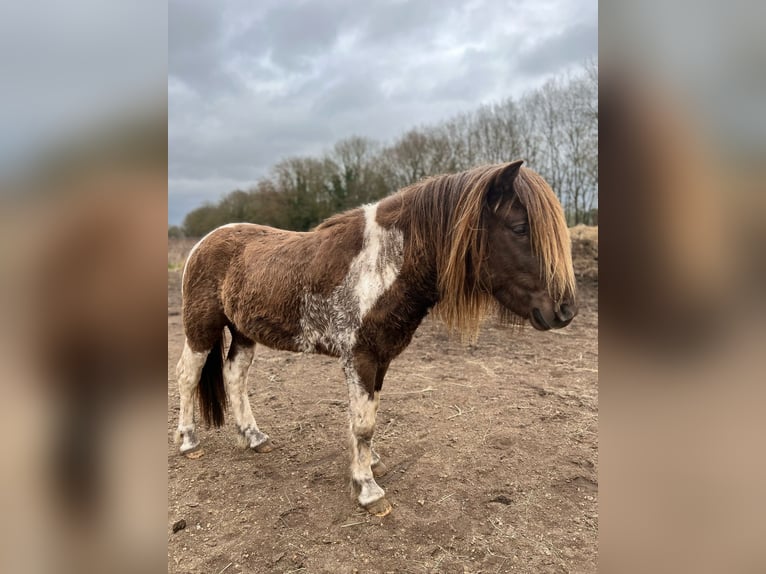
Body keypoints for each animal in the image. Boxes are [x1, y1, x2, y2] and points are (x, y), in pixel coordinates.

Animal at [175, 160, 577, 516]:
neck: (382, 265)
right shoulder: (360, 357)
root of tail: (203, 243)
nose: (565, 310)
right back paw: (189, 441)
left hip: (244, 332)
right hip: (201, 327)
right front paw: (368, 490)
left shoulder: (381, 358)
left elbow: (370, 416)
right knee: (188, 376)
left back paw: (253, 437)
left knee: (234, 377)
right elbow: (363, 424)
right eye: (519, 227)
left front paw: (371, 465)